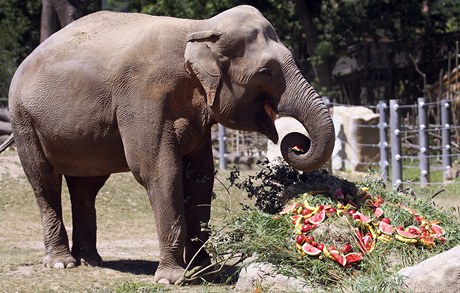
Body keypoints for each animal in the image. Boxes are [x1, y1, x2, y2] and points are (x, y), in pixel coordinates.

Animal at [0, 4, 332, 282]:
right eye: (267, 71)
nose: (296, 142)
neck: (200, 28)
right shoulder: (143, 96)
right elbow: (159, 171)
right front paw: (172, 279)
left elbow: (200, 177)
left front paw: (203, 272)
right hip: (24, 120)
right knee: (44, 182)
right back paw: (61, 263)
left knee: (86, 187)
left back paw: (92, 261)